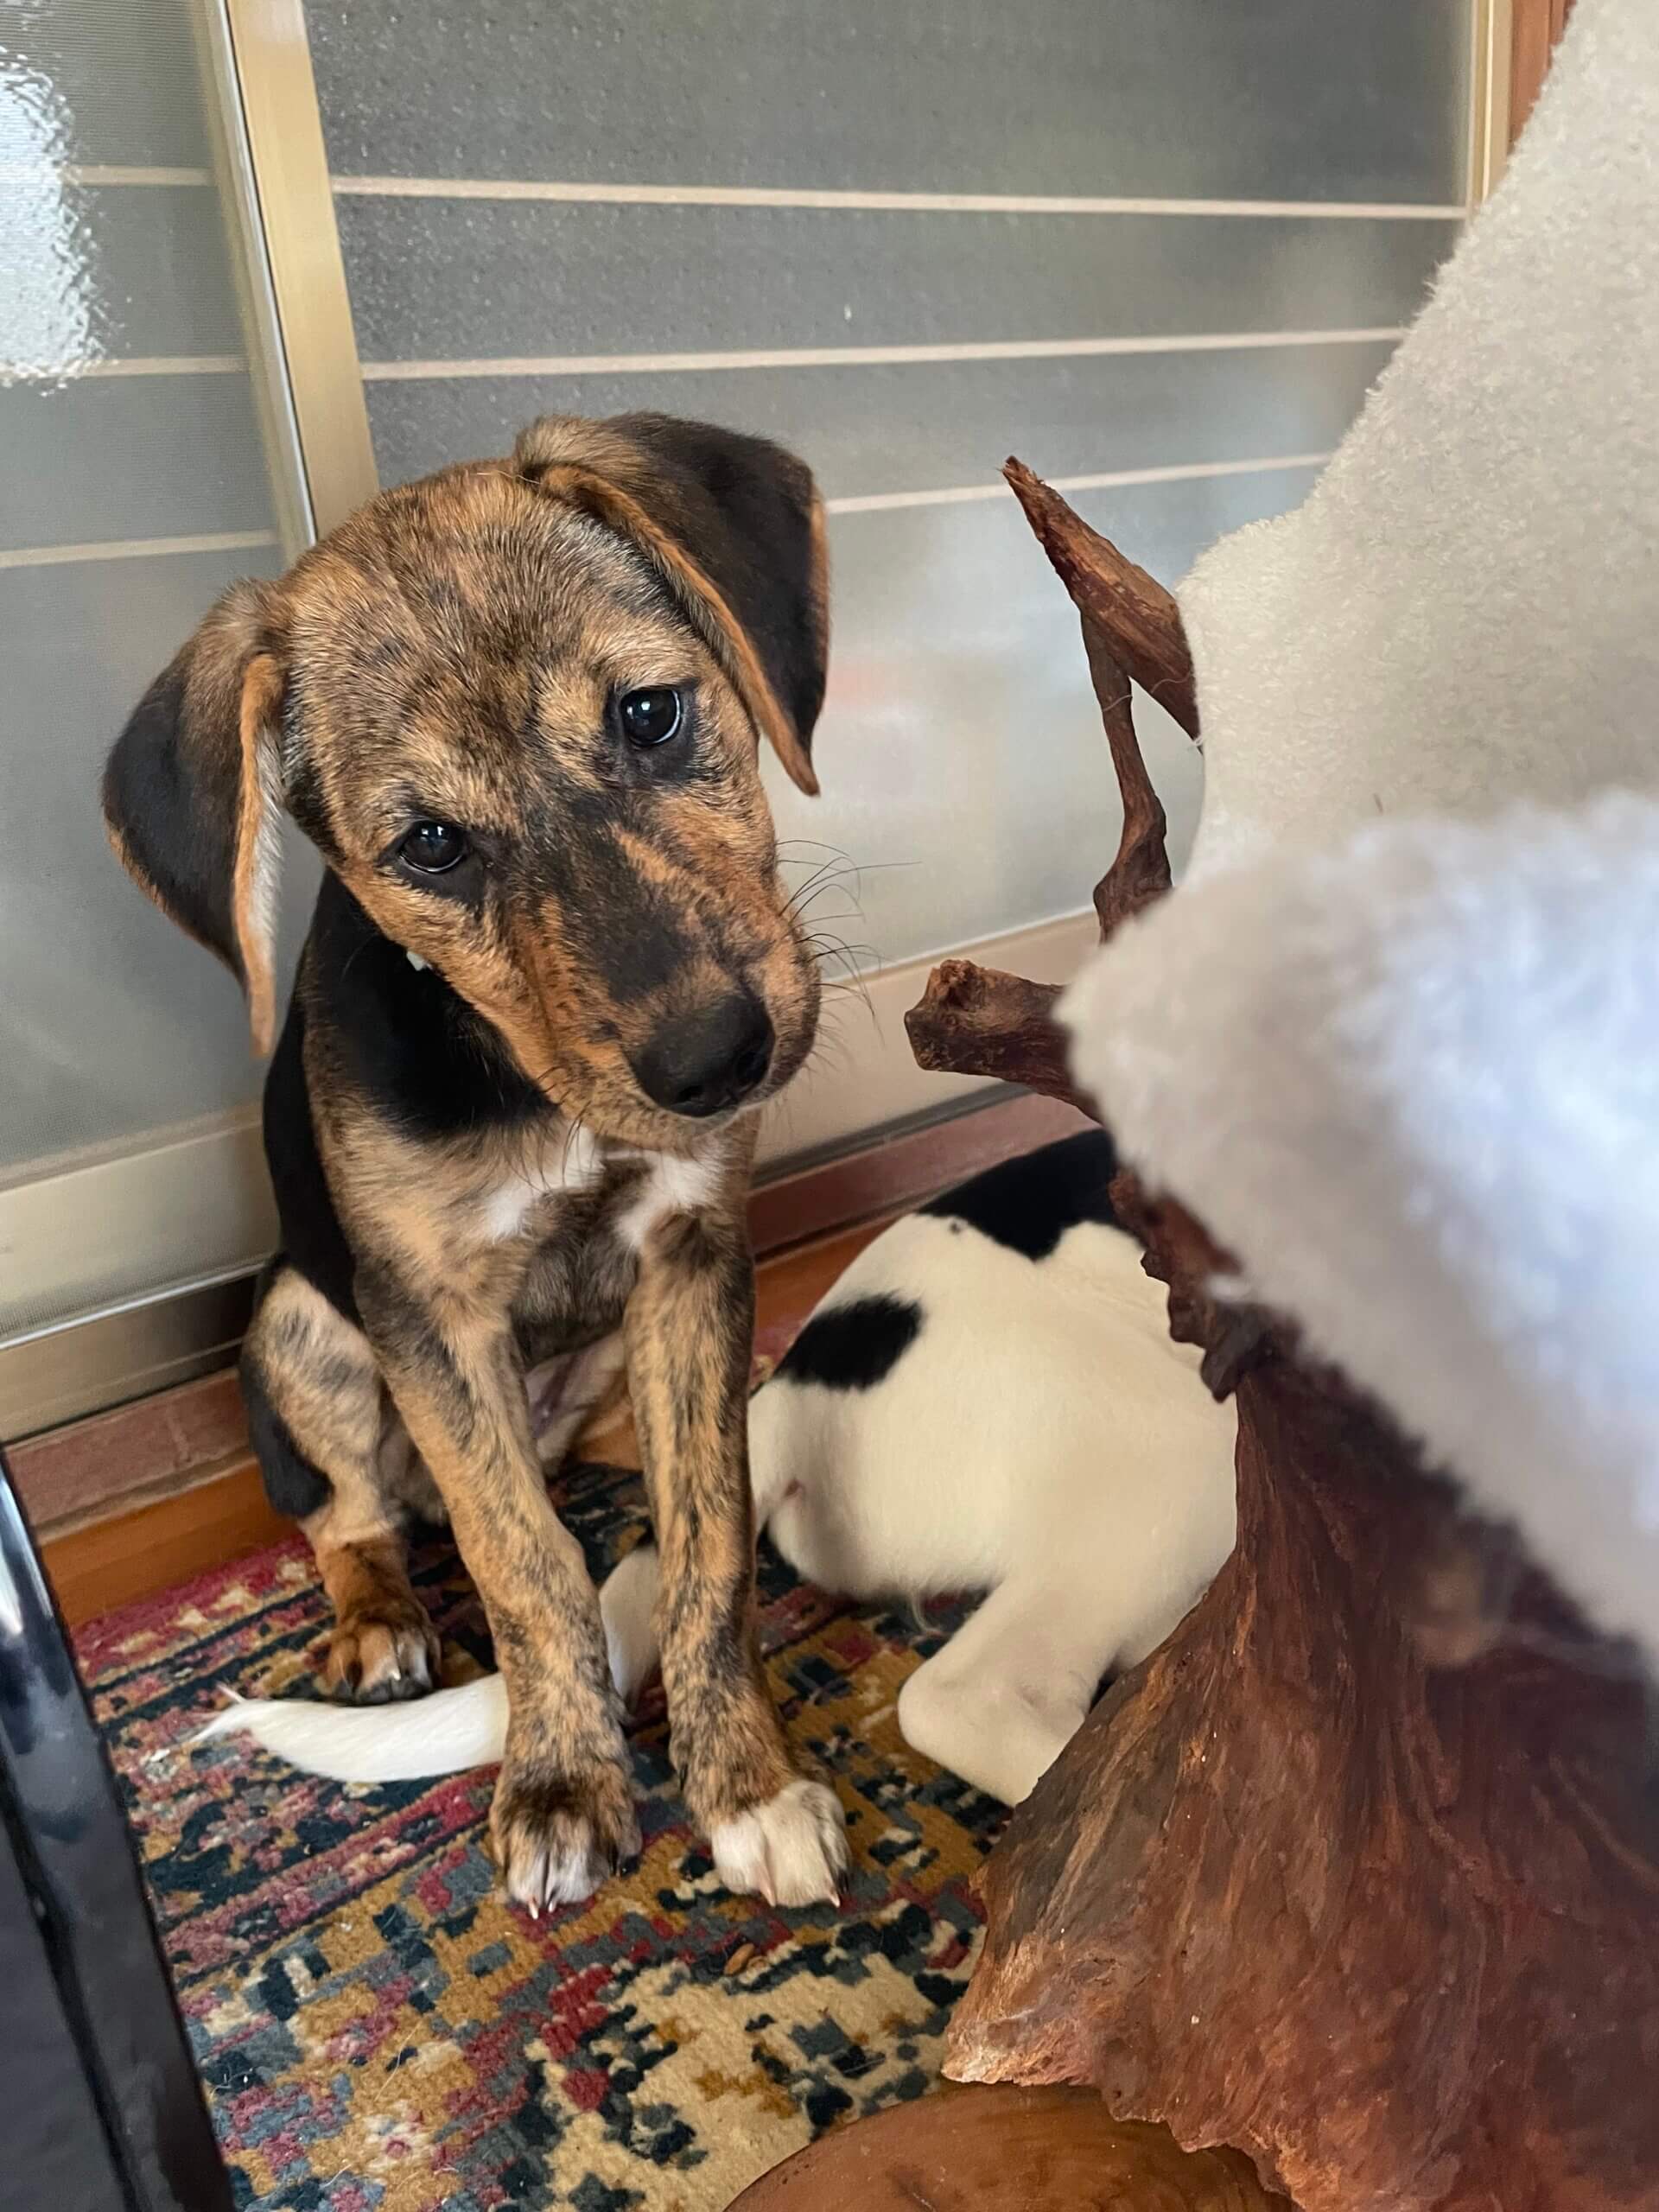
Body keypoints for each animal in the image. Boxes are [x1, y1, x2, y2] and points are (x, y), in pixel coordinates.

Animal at [103, 412, 849, 1912]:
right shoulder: (428, 1318)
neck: (532, 1085)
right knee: (351, 1519)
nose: (715, 1062)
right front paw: (561, 1783)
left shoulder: (693, 1253)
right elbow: (525, 1567)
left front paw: (744, 1780)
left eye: (648, 714)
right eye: (432, 845)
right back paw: (383, 1623)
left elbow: (708, 1540)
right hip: (302, 1328)